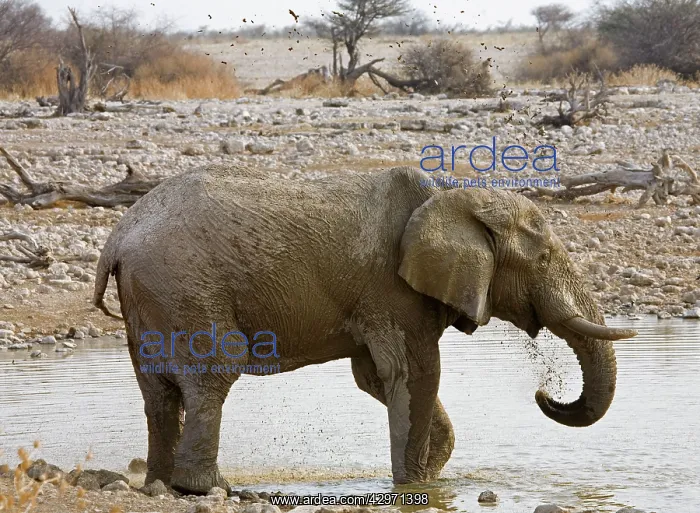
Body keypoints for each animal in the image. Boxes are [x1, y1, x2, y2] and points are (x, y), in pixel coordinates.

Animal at [93, 165, 637, 495]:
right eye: (542, 259)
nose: (545, 392)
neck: (450, 198)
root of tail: (116, 238)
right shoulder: (394, 292)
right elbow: (417, 374)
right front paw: (414, 488)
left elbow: (376, 378)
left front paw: (430, 481)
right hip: (184, 284)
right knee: (213, 375)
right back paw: (208, 489)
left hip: (151, 297)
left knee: (159, 393)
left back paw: (160, 485)